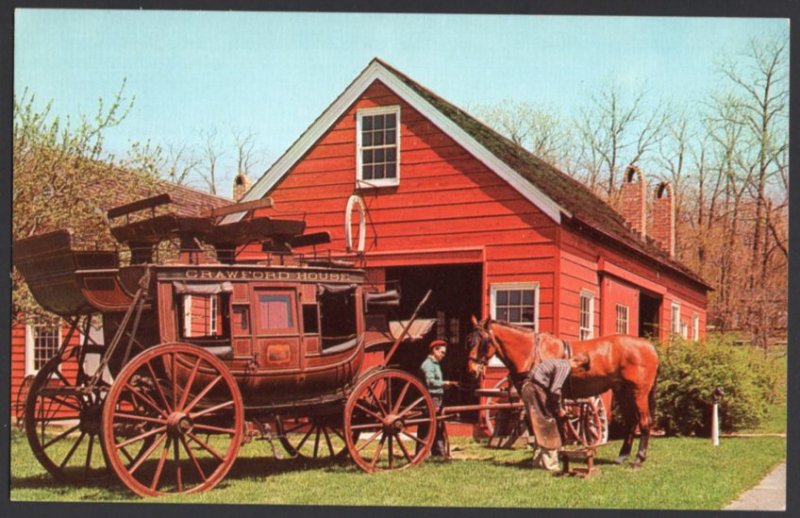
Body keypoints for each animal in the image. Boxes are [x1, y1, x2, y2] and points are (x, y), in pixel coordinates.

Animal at [466, 316, 660, 472]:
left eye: (483, 341)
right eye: (469, 340)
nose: (472, 370)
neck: (531, 352)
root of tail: (649, 346)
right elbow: (557, 426)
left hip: (639, 392)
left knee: (644, 422)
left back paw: (638, 459)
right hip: (623, 391)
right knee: (631, 422)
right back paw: (622, 456)